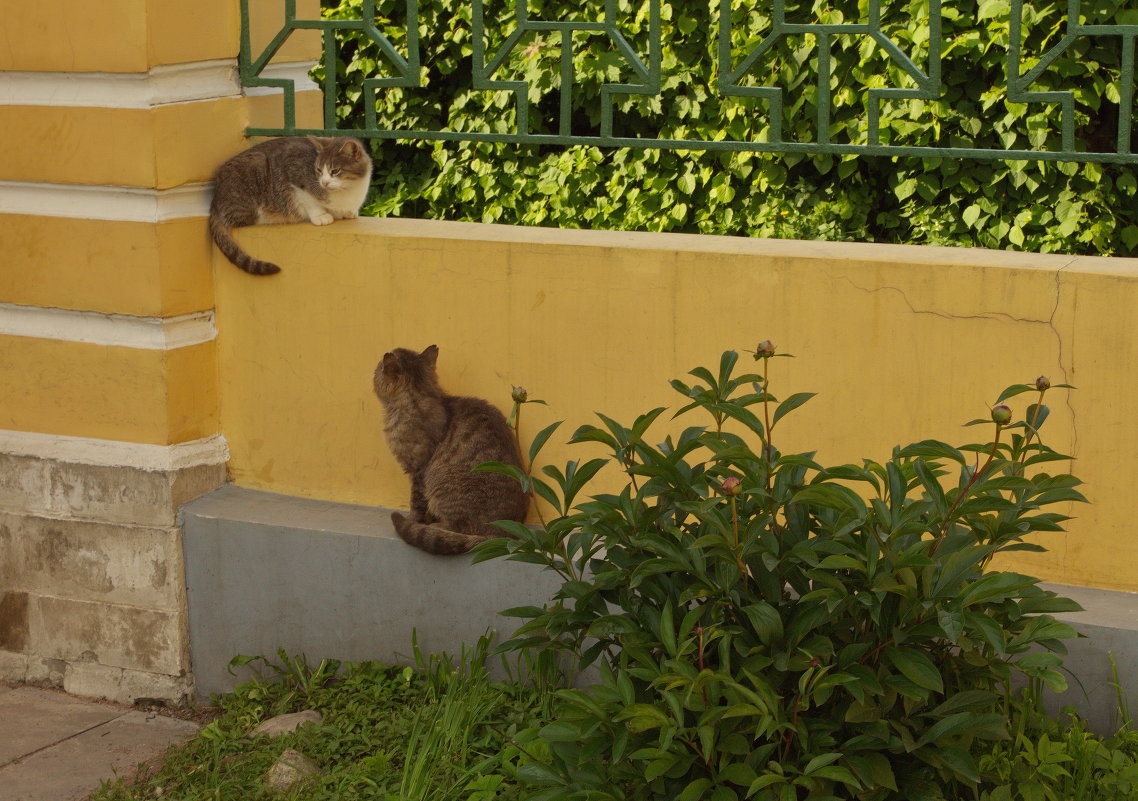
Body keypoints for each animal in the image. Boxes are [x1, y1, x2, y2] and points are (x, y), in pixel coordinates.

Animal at [209, 135, 373, 276]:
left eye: (335, 171)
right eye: (319, 170)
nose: (324, 182)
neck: (347, 191)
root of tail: (215, 198)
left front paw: (347, 212)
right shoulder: (293, 171)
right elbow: (308, 200)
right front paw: (321, 215)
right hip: (255, 169)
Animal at [375, 343, 530, 557]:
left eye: (378, 367)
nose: (375, 367)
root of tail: (502, 534)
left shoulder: (418, 469)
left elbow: (416, 502)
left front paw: (413, 520)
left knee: (456, 527)